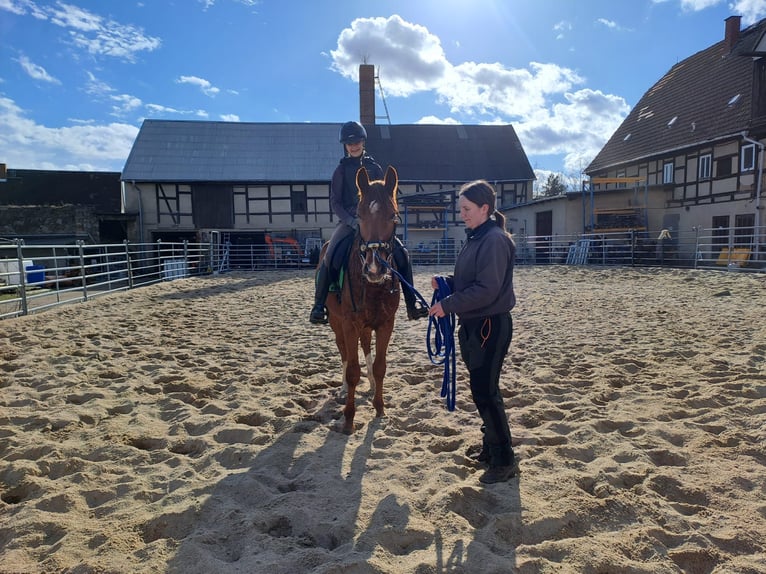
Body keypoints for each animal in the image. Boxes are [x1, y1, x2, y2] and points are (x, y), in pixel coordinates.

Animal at [320, 165, 402, 434]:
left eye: (393, 216)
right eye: (360, 216)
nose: (375, 268)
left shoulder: (386, 324)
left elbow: (380, 366)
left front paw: (379, 407)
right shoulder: (348, 324)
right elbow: (353, 370)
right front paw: (348, 419)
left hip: (366, 326)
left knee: (365, 347)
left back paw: (372, 386)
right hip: (337, 323)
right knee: (344, 351)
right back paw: (344, 388)